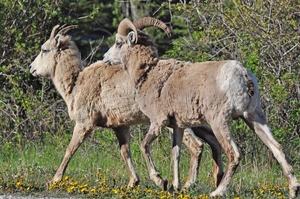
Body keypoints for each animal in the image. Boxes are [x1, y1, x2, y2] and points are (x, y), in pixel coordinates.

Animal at [29, 24, 224, 188]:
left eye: (44, 50)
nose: (31, 68)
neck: (76, 84)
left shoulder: (84, 124)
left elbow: (70, 150)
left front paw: (55, 179)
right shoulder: (120, 126)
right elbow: (125, 152)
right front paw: (133, 183)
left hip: (174, 123)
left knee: (197, 146)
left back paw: (188, 184)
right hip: (196, 120)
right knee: (213, 140)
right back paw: (217, 179)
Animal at [103, 17, 300, 197]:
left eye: (118, 43)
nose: (105, 58)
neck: (148, 73)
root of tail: (242, 74)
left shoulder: (158, 122)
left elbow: (144, 146)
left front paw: (161, 181)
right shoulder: (177, 126)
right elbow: (176, 154)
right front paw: (175, 187)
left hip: (219, 122)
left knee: (234, 154)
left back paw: (217, 192)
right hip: (253, 117)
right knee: (277, 148)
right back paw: (293, 190)